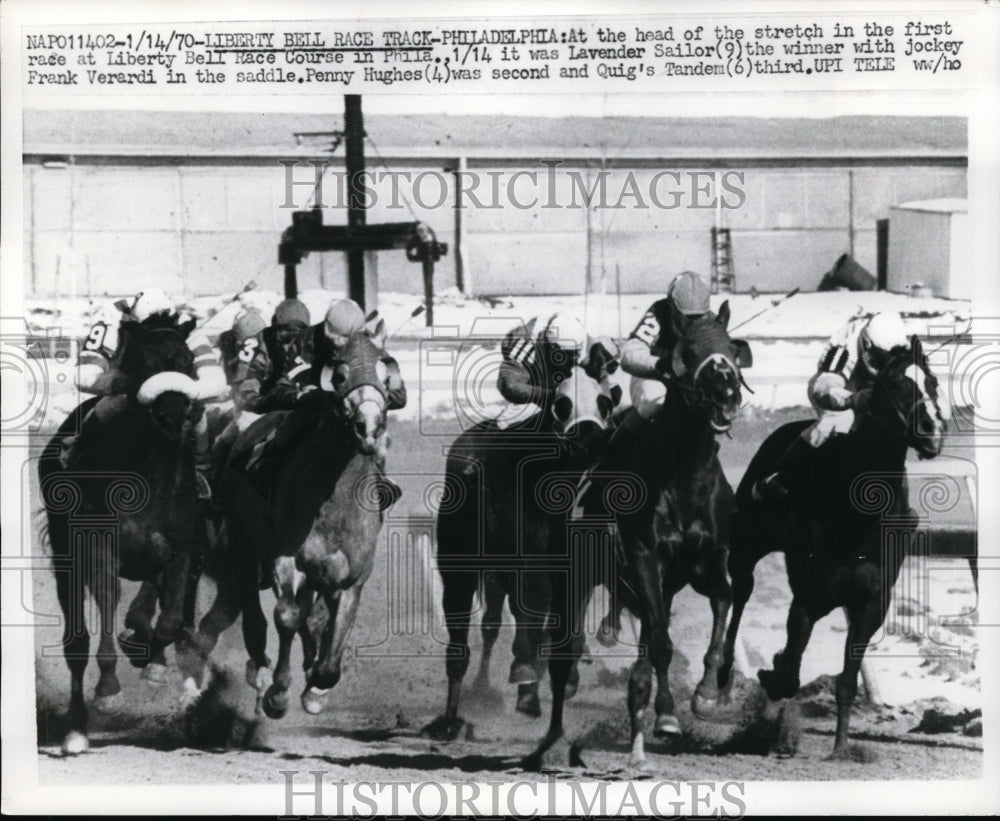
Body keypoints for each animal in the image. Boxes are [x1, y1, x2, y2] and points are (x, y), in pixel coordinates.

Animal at [38, 316, 213, 756]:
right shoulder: (101, 547)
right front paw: (109, 692)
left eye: (186, 360)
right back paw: (76, 730)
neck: (150, 475)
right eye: (140, 363)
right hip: (66, 556)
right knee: (76, 643)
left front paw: (152, 662)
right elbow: (107, 602)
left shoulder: (182, 547)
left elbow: (170, 619)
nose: (172, 414)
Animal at [188, 326, 394, 716]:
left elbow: (328, 636)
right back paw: (258, 673)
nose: (368, 428)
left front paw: (315, 688)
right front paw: (278, 693)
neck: (332, 498)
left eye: (387, 376)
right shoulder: (285, 557)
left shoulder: (351, 578)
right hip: (241, 547)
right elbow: (286, 617)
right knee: (253, 616)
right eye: (339, 376)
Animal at [424, 356, 624, 740]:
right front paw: (527, 678)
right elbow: (528, 614)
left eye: (605, 402)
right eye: (561, 404)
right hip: (470, 568)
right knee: (475, 633)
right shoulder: (524, 563)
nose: (589, 438)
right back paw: (461, 711)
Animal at [532, 302, 752, 768]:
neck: (685, 476)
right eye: (690, 351)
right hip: (574, 578)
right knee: (565, 654)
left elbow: (722, 603)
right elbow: (661, 642)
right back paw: (556, 735)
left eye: (730, 349)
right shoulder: (645, 558)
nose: (728, 395)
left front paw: (706, 694)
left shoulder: (706, 562)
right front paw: (666, 717)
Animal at [720, 334, 944, 756]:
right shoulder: (809, 596)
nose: (933, 430)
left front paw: (841, 749)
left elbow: (845, 682)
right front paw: (771, 700)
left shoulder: (871, 603)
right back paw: (718, 679)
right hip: (746, 544)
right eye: (896, 385)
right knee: (738, 595)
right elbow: (789, 673)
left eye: (933, 383)